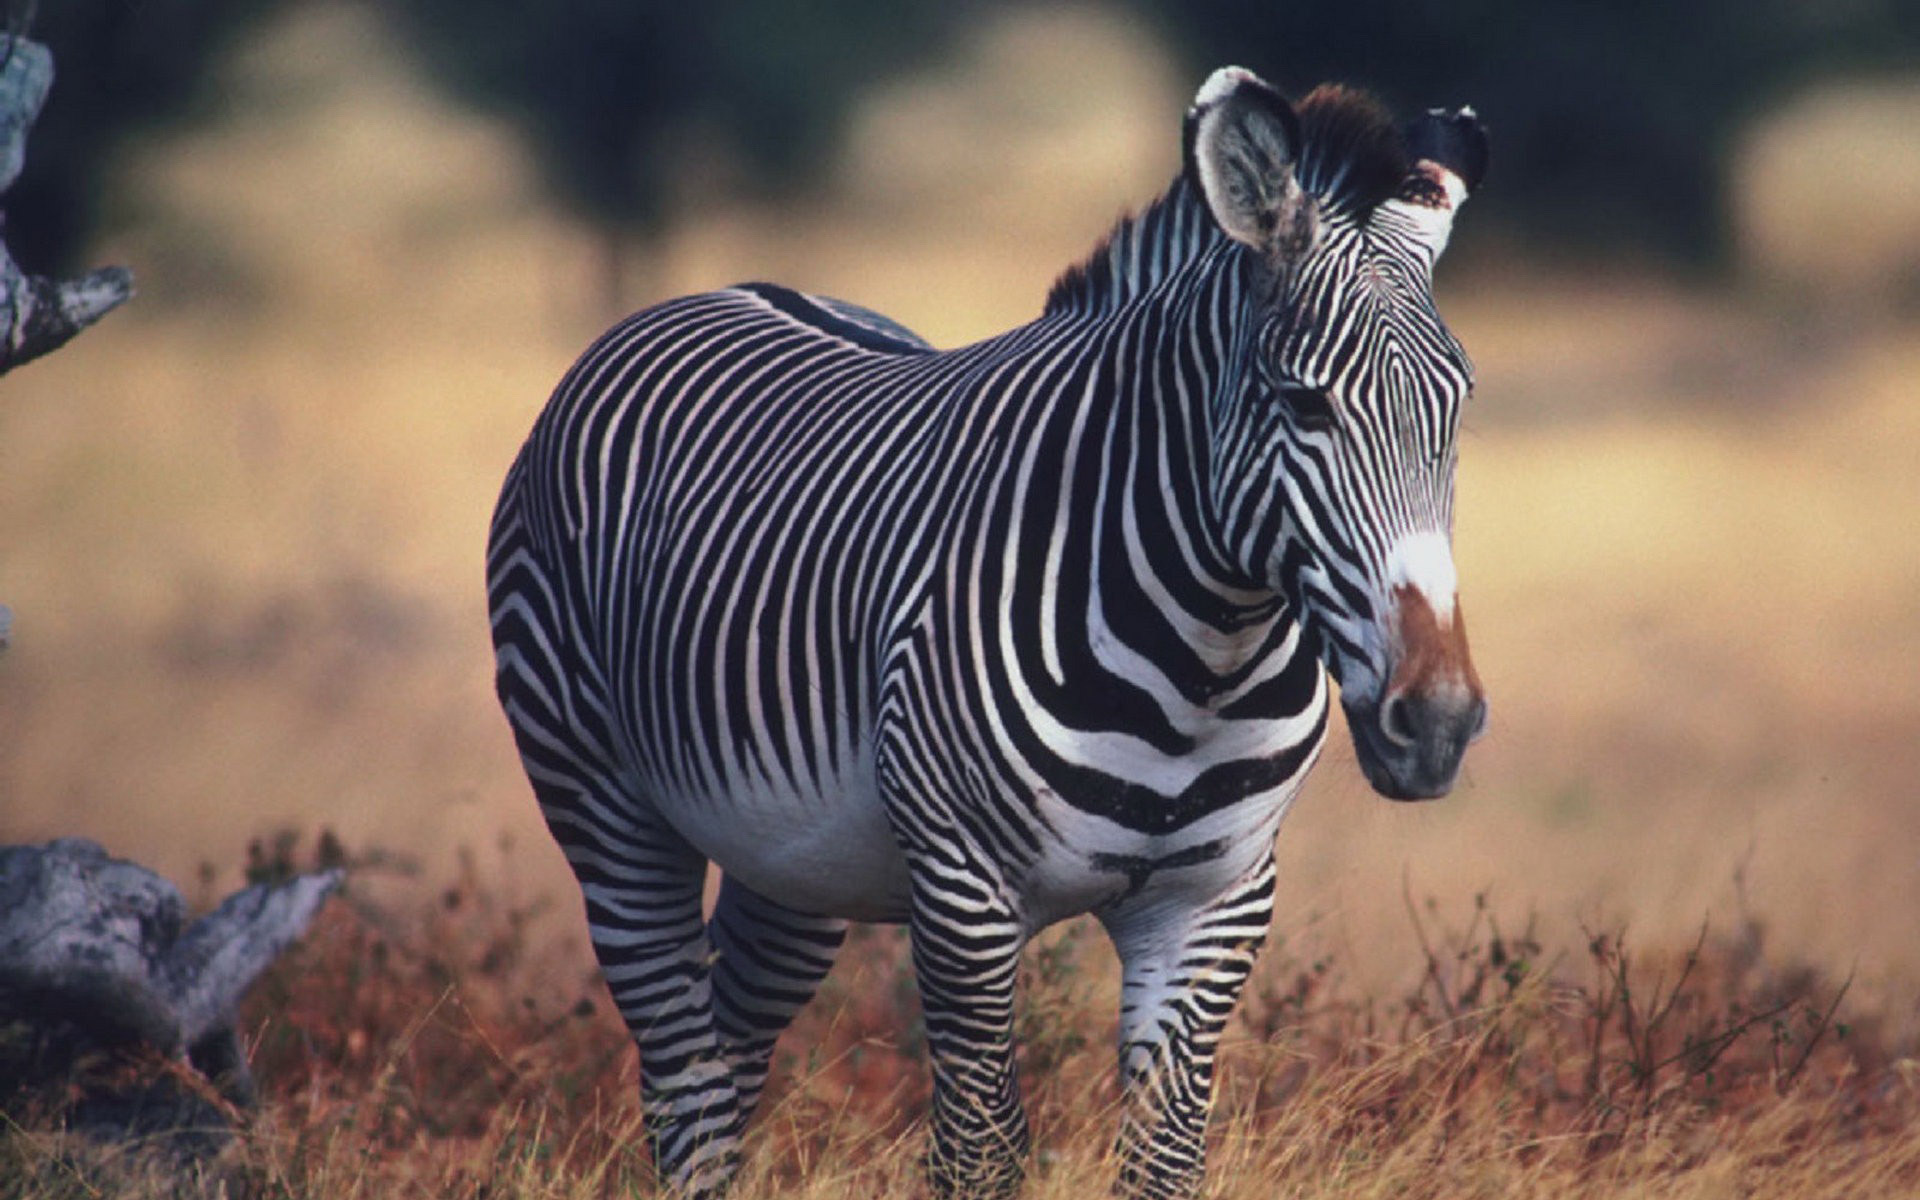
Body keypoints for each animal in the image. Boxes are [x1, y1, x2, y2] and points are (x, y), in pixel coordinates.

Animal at [487, 66, 1488, 1199]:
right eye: (1303, 405)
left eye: (1458, 410)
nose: (1438, 724)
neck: (1204, 663)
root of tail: (718, 290)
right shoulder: (966, 894)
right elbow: (979, 1147)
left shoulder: (1216, 903)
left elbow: (1164, 1157)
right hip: (601, 798)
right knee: (681, 1066)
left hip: (788, 855)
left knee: (729, 1039)